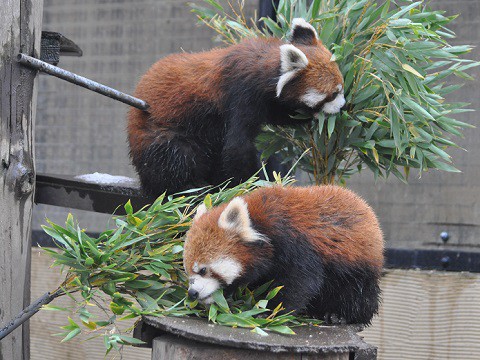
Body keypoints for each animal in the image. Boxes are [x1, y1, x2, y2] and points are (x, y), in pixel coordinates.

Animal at [127, 19, 344, 197]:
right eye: (333, 94)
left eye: (342, 88)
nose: (342, 107)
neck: (262, 65)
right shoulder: (241, 95)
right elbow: (237, 146)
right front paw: (250, 185)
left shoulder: (267, 102)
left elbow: (280, 115)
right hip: (162, 134)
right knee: (176, 159)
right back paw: (191, 188)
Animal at [182, 186, 384, 326]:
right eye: (188, 271)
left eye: (203, 270)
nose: (192, 293)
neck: (261, 225)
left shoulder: (297, 247)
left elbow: (300, 283)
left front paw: (271, 312)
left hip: (356, 267)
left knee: (357, 295)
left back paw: (340, 315)